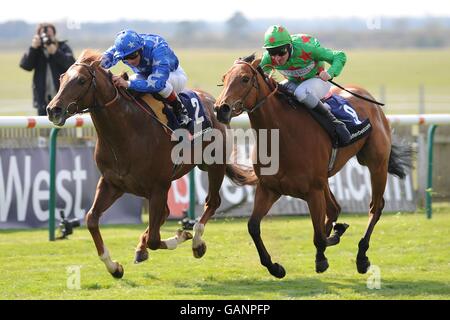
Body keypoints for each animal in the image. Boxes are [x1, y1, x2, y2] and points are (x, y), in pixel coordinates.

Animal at [46, 49, 256, 278]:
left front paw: (182, 236)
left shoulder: (158, 187)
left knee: (212, 202)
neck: (127, 131)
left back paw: (197, 242)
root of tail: (213, 101)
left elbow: (156, 239)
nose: (53, 109)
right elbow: (92, 219)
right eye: (61, 78)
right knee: (165, 214)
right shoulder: (112, 184)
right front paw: (114, 266)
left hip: (214, 165)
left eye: (81, 80)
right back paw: (143, 248)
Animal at [216, 55, 414, 278]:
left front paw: (324, 254)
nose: (220, 108)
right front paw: (275, 267)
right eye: (224, 78)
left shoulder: (313, 191)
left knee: (375, 208)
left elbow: (318, 235)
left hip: (376, 164)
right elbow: (253, 226)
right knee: (335, 209)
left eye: (244, 79)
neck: (284, 136)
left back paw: (361, 256)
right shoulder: (269, 189)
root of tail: (368, 97)